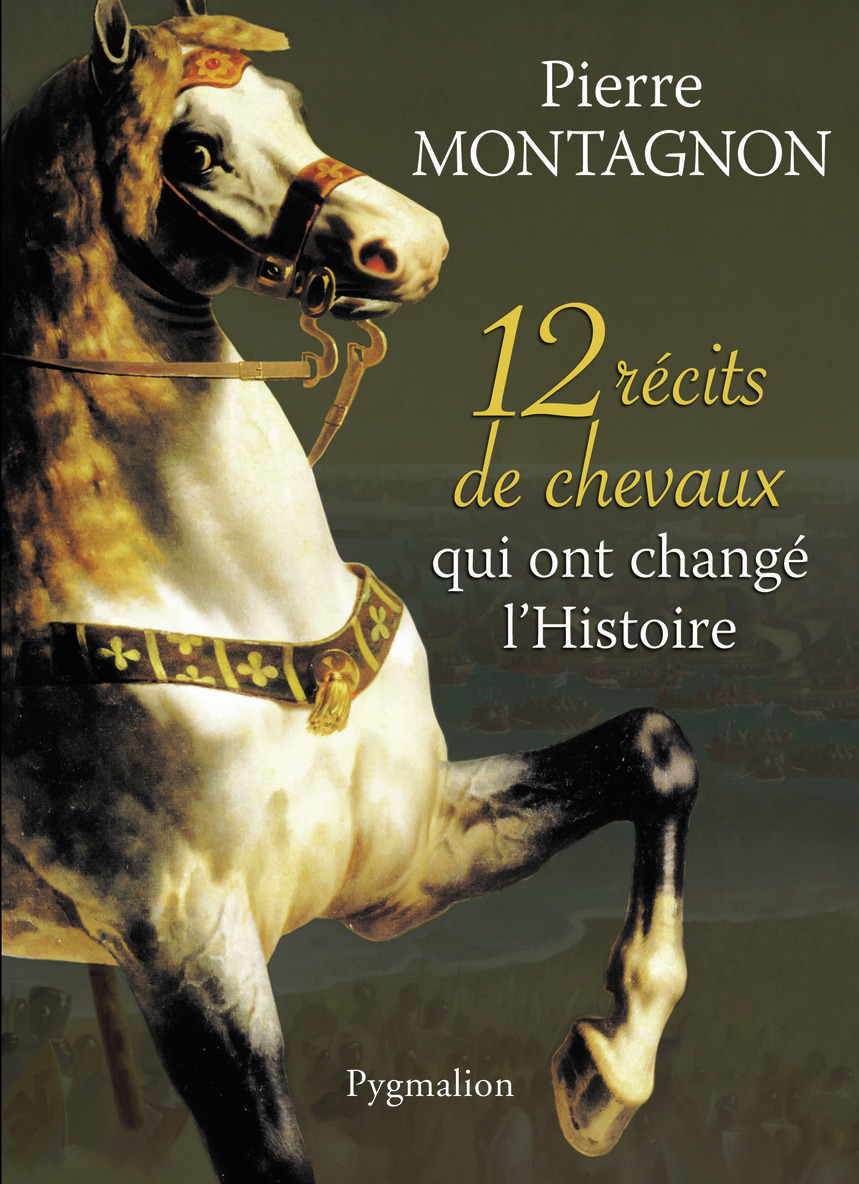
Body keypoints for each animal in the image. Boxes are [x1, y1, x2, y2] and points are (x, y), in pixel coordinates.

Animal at [1, 2, 698, 1180]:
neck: (218, 595)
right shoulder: (188, 952)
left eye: (289, 104)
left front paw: (606, 1074)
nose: (406, 240)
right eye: (195, 149)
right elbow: (275, 1155)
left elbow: (653, 750)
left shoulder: (410, 858)